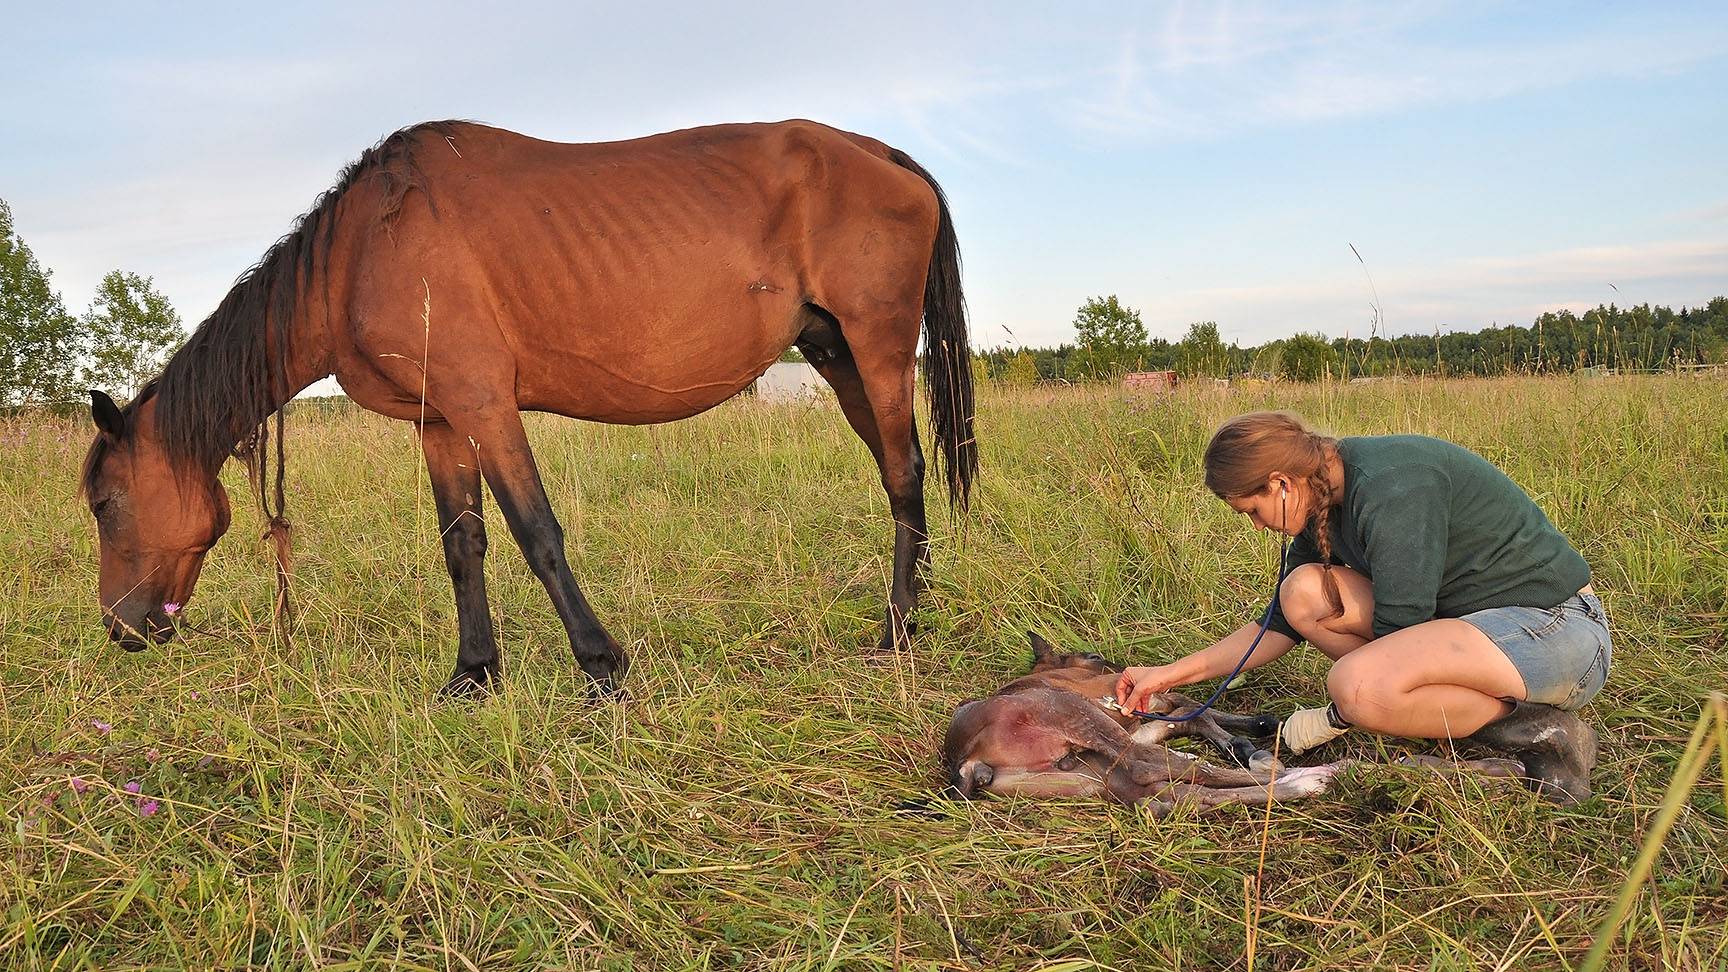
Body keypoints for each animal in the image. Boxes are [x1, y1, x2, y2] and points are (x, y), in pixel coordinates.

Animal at [80, 119, 977, 696]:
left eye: (104, 502)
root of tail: (881, 155)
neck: (361, 252)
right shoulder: (439, 421)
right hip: (837, 356)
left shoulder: (484, 405)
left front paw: (602, 668)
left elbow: (536, 533)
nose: (122, 630)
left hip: (878, 349)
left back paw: (898, 629)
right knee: (898, 470)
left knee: (903, 471)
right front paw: (473, 674)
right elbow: (463, 545)